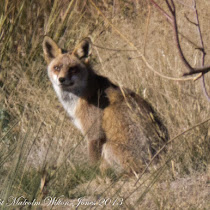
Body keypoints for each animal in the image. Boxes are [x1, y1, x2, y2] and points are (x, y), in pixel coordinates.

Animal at [42, 36, 169, 176]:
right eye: (57, 68)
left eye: (72, 69)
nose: (61, 79)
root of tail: (160, 158)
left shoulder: (94, 134)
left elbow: (93, 164)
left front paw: (93, 175)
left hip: (108, 148)